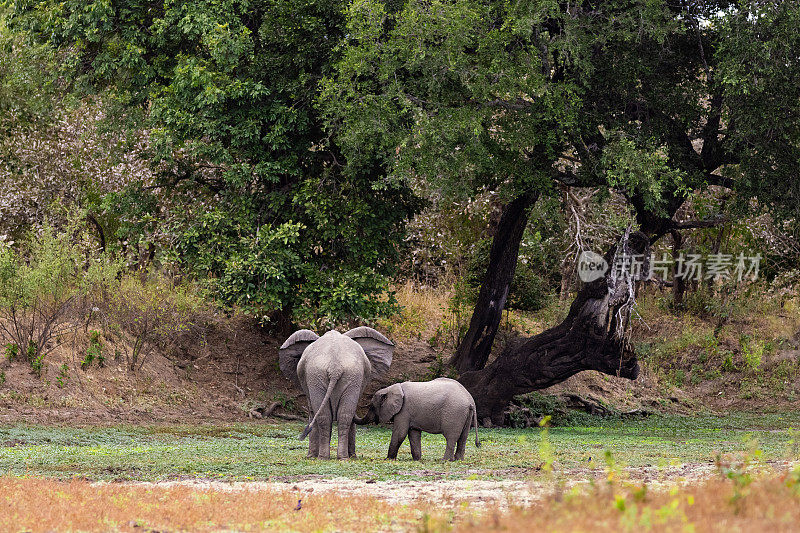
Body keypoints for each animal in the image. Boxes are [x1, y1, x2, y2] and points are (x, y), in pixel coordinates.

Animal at [280, 326, 396, 460]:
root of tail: (335, 366)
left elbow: (312, 413)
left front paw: (310, 456)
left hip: (328, 375)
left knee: (328, 416)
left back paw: (327, 457)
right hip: (339, 375)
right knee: (342, 416)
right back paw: (339, 457)